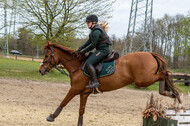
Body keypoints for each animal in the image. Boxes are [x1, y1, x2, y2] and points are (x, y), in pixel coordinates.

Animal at [38, 41, 181, 125]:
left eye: (46, 56)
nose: (41, 70)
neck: (77, 66)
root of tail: (150, 53)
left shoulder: (74, 89)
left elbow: (63, 102)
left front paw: (52, 116)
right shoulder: (84, 93)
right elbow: (81, 111)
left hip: (143, 80)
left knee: (165, 73)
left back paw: (171, 92)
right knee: (164, 75)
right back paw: (170, 93)